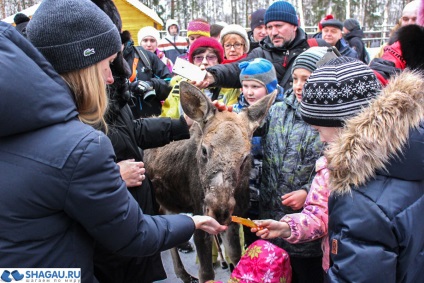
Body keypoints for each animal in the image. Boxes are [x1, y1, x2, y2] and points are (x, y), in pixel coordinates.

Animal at [144, 81, 276, 282]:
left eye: (245, 157)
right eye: (204, 150)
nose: (219, 210)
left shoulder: (234, 218)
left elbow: (235, 255)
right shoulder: (199, 214)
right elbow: (206, 271)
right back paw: (183, 273)